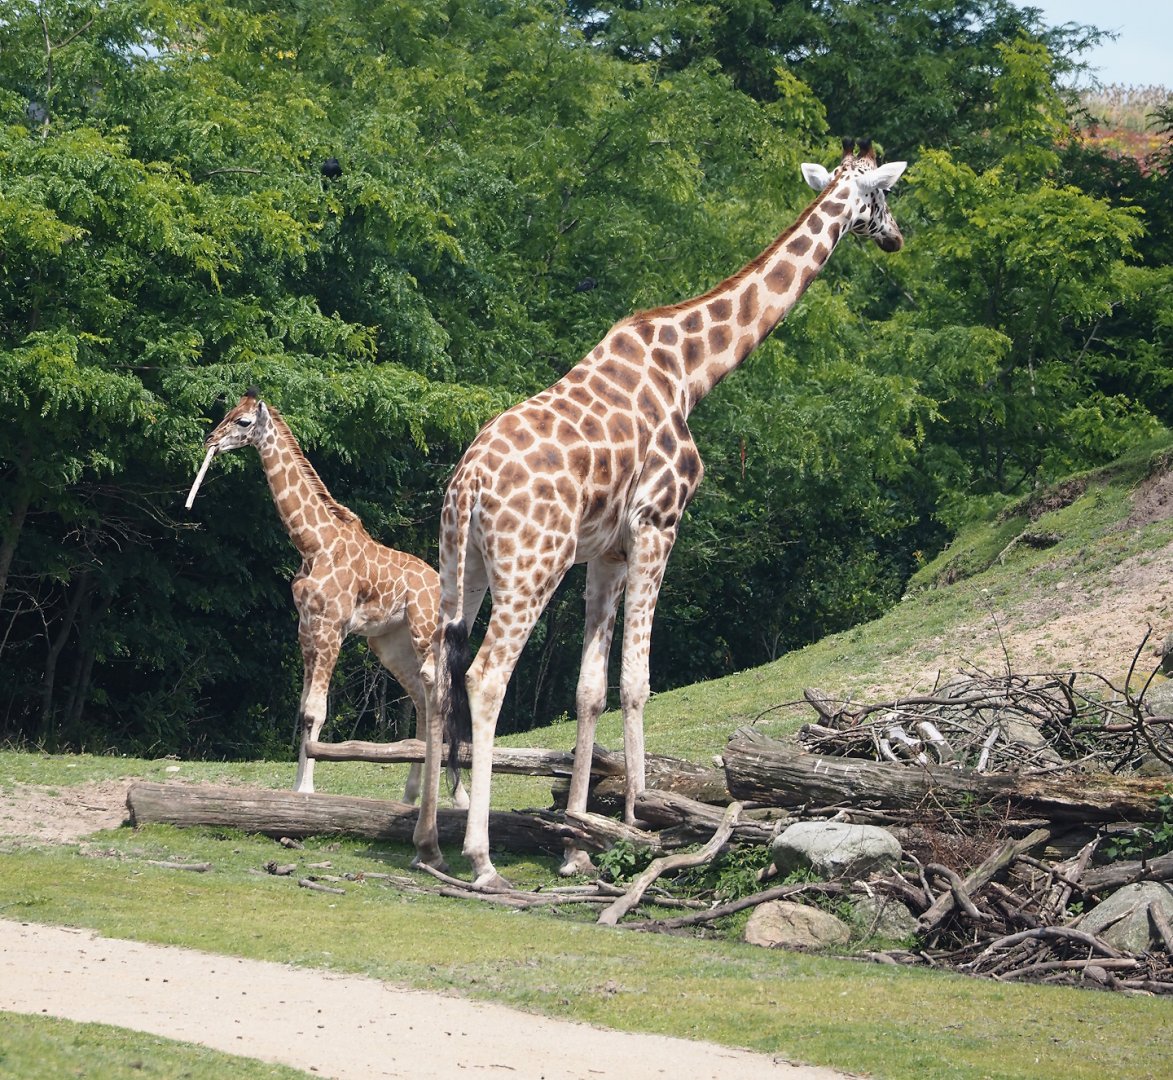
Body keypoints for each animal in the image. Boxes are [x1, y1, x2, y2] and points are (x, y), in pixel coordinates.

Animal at [186, 389, 467, 807]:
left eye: (243, 421)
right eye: (229, 412)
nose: (210, 440)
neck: (312, 543)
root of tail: (439, 587)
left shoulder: (333, 627)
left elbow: (315, 711)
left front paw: (306, 788)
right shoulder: (305, 629)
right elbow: (303, 709)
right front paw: (297, 790)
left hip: (423, 632)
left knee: (440, 696)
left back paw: (458, 796)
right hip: (388, 642)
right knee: (422, 697)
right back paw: (411, 794)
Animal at [414, 140, 907, 888]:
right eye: (883, 196)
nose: (896, 238)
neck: (691, 371)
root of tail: (469, 483)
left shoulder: (608, 551)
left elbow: (589, 689)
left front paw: (577, 845)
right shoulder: (658, 524)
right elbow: (638, 683)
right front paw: (641, 822)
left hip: (457, 566)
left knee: (437, 676)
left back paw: (428, 845)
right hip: (531, 567)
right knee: (485, 676)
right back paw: (480, 856)